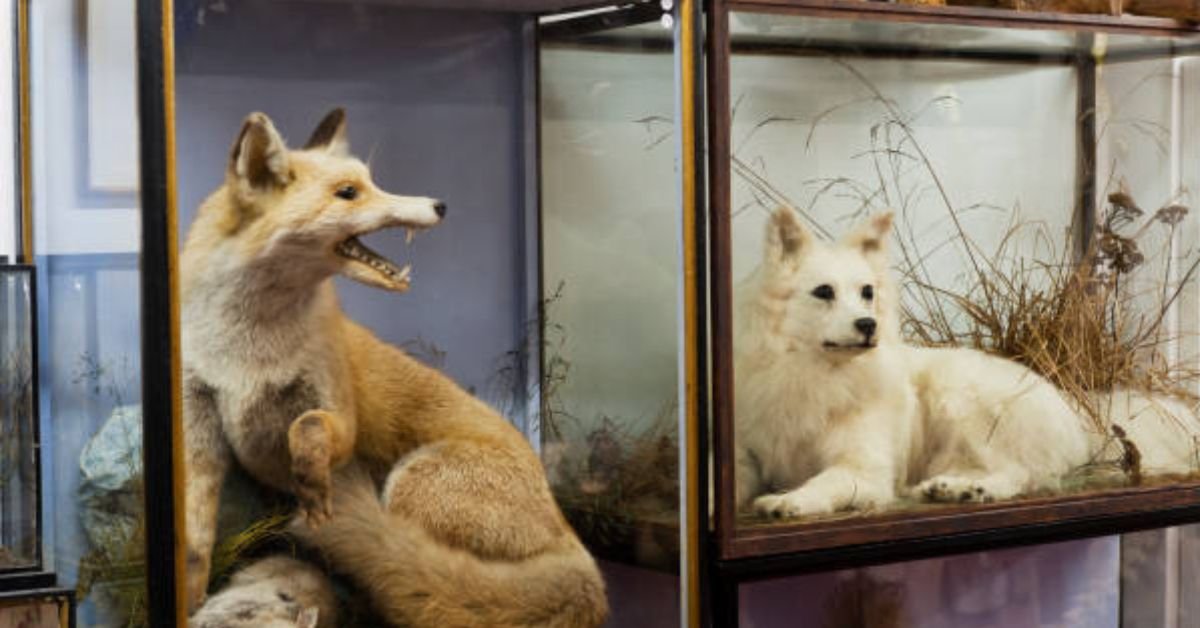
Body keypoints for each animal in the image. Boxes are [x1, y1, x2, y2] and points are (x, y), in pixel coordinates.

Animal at [182, 108, 607, 627]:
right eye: (348, 192)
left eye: (372, 181)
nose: (440, 204)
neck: (249, 348)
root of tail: (571, 537)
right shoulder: (197, 418)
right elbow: (195, 544)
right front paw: (191, 600)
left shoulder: (333, 404)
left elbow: (309, 427)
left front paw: (311, 482)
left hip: (408, 487)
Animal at [736, 206, 1200, 519]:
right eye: (824, 292)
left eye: (866, 292)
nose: (868, 325)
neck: (815, 373)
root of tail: (1075, 410)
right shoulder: (747, 456)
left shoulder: (863, 471)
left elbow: (825, 481)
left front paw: (789, 500)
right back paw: (949, 489)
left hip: (958, 398)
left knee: (1017, 475)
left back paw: (972, 492)